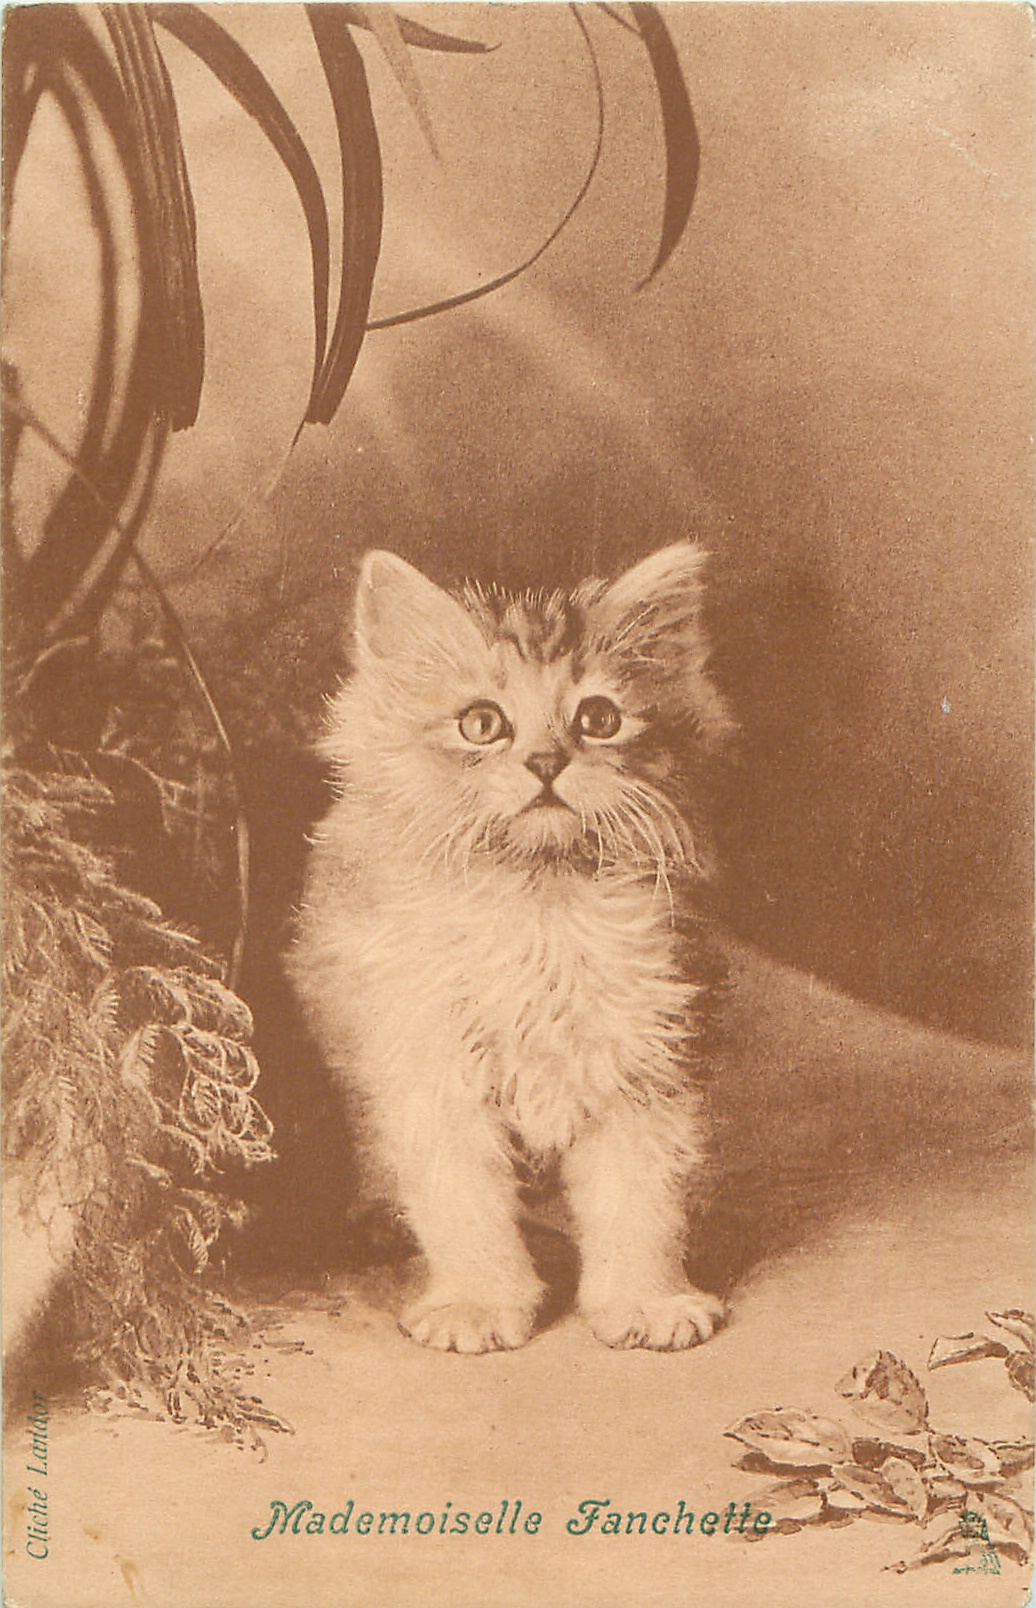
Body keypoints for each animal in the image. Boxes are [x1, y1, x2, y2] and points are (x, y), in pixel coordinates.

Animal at [288, 542, 735, 1353]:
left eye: (599, 718)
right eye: (482, 724)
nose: (547, 762)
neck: (540, 902)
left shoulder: (645, 1059)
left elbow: (641, 1204)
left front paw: (647, 1302)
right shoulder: (431, 1067)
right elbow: (462, 1206)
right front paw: (478, 1303)